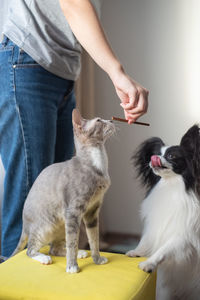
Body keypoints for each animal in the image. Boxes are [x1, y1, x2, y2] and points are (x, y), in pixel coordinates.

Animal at [12, 109, 115, 274]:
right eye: (99, 120)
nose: (111, 120)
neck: (98, 165)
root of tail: (25, 224)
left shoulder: (92, 212)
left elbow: (94, 239)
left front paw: (97, 259)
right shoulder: (73, 211)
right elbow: (73, 242)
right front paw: (72, 267)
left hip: (61, 225)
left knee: (55, 248)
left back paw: (80, 252)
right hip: (47, 226)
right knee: (31, 249)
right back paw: (44, 258)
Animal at [126, 124, 200, 300]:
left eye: (172, 156)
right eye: (157, 153)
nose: (154, 158)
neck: (170, 185)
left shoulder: (183, 236)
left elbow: (164, 249)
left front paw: (148, 263)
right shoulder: (154, 225)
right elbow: (145, 240)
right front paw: (137, 252)